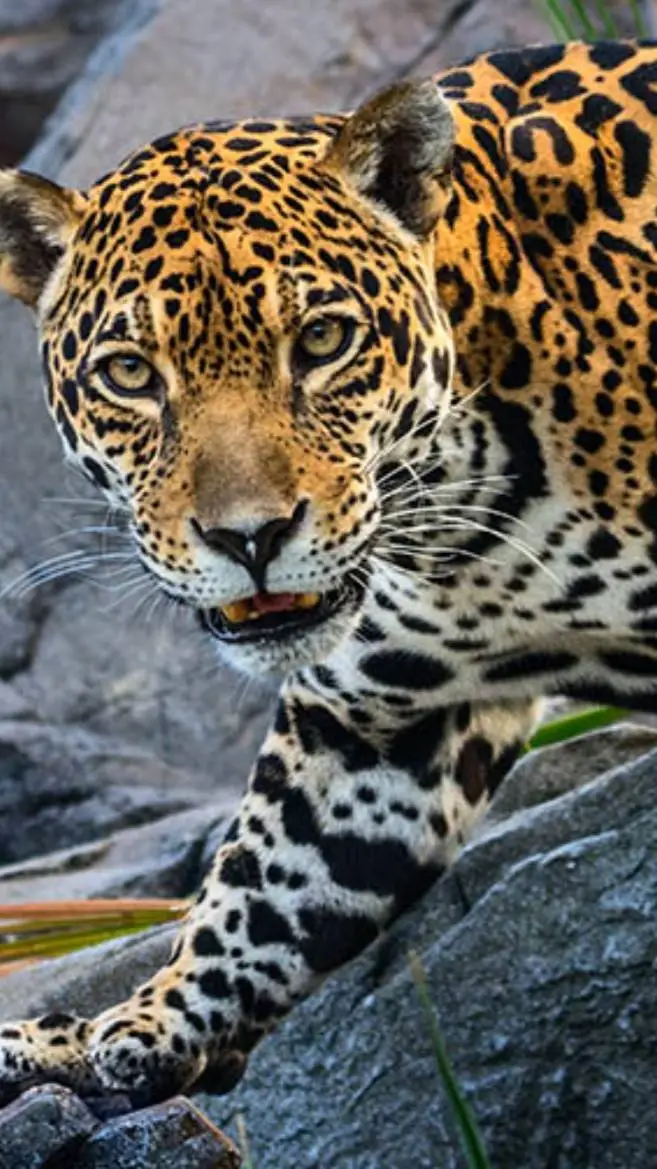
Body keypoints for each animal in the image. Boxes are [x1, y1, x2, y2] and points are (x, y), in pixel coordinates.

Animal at [0, 37, 656, 1110]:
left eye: (320, 341)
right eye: (131, 373)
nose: (250, 538)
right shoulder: (374, 734)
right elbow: (263, 886)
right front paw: (115, 1034)